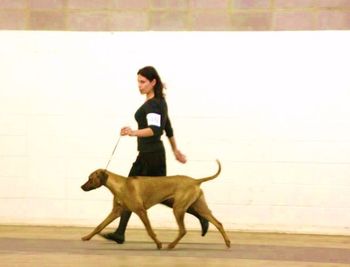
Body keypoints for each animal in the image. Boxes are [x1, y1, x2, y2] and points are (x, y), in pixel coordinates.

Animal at [80, 160, 231, 250]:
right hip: (199, 207)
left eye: (90, 178)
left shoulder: (141, 211)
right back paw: (227, 242)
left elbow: (150, 231)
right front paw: (87, 237)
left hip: (178, 208)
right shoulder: (116, 212)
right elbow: (99, 226)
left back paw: (171, 245)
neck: (121, 185)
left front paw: (158, 244)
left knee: (183, 230)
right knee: (218, 223)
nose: (82, 187)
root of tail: (195, 180)